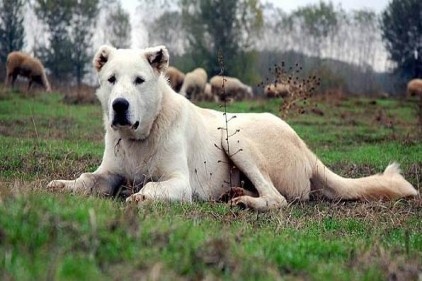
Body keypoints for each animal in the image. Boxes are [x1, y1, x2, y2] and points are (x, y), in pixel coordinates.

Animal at [47, 45, 418, 210]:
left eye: (139, 81)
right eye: (111, 80)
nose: (120, 106)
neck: (142, 135)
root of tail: (306, 148)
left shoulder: (180, 183)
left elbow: (151, 188)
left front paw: (139, 196)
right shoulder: (109, 173)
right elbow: (87, 179)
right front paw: (64, 185)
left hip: (233, 139)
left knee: (278, 198)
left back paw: (246, 203)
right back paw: (236, 194)